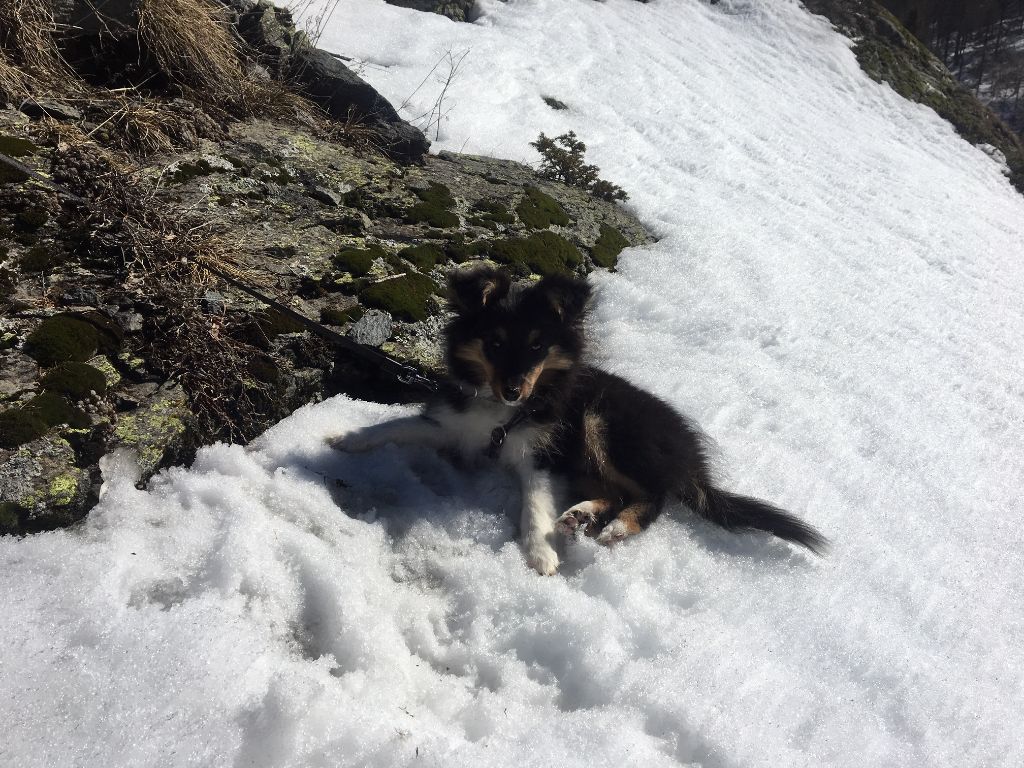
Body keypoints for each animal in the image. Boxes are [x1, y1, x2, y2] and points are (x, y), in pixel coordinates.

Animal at [331, 268, 827, 573]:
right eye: (493, 343)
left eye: (537, 346)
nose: (514, 391)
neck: (503, 414)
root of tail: (691, 460)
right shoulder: (454, 422)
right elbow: (400, 426)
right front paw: (346, 438)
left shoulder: (542, 456)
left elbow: (534, 507)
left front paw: (540, 555)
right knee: (618, 493)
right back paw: (580, 516)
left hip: (604, 426)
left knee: (653, 496)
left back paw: (616, 528)